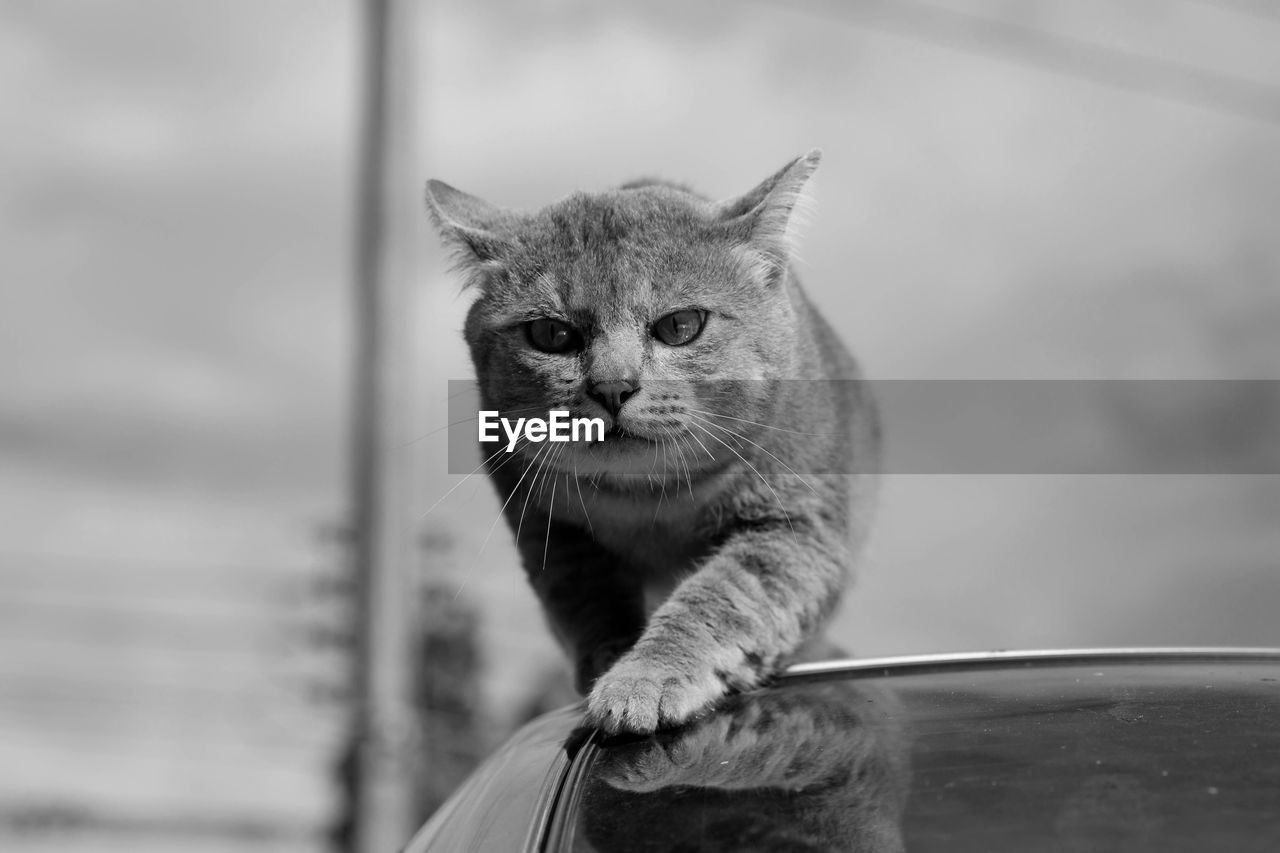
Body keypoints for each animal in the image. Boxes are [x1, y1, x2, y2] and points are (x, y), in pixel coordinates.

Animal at [424, 151, 875, 732]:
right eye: (551, 334)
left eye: (680, 325)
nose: (612, 387)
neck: (650, 498)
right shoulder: (552, 533)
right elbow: (589, 604)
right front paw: (608, 666)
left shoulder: (795, 530)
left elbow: (717, 599)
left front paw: (645, 678)